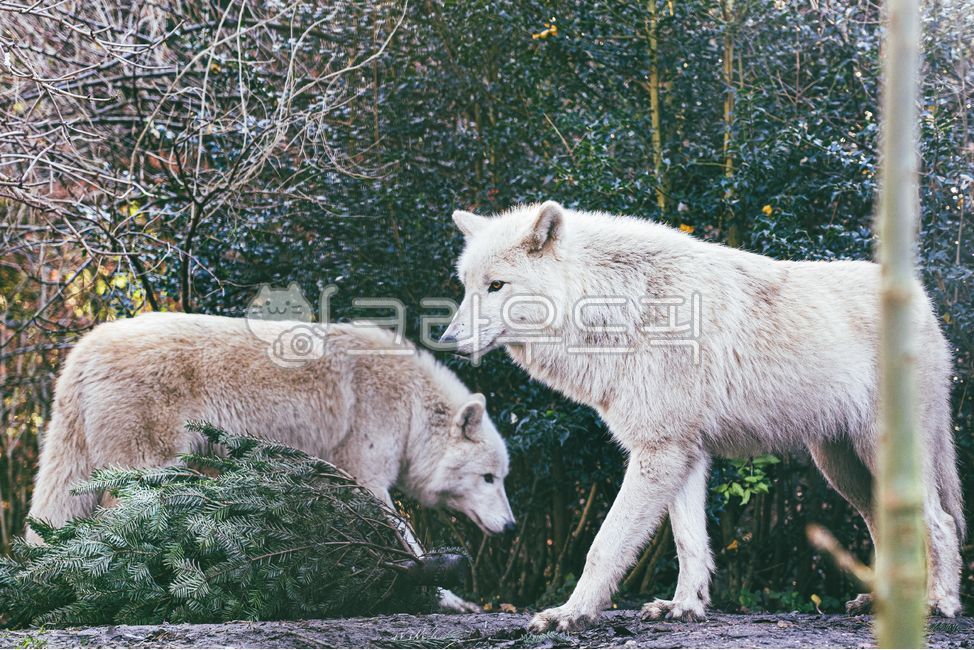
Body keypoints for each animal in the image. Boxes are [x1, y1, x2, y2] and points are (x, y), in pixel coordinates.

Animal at [28, 311, 516, 613]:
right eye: (488, 478)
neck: (411, 404)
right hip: (149, 466)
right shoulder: (366, 473)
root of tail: (84, 349)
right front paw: (446, 597)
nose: (511, 526)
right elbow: (404, 536)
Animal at [440, 201, 963, 630]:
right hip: (842, 468)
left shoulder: (658, 452)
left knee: (940, 522)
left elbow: (603, 546)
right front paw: (685, 607)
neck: (619, 308)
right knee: (889, 523)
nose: (445, 340)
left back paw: (939, 603)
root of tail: (925, 302)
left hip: (878, 454)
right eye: (466, 287)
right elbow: (690, 542)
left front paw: (570, 613)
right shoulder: (684, 454)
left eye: (496, 285)